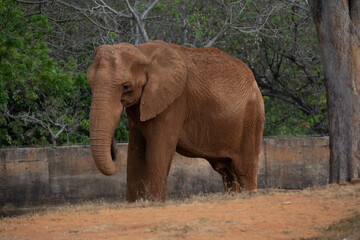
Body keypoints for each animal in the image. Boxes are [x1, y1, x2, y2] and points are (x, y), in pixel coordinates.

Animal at [86, 40, 264, 202]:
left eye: (126, 86)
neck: (143, 52)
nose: (114, 148)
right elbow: (135, 152)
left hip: (252, 118)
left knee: (244, 170)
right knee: (227, 171)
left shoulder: (175, 103)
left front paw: (156, 204)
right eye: (90, 84)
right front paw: (134, 204)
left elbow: (158, 151)